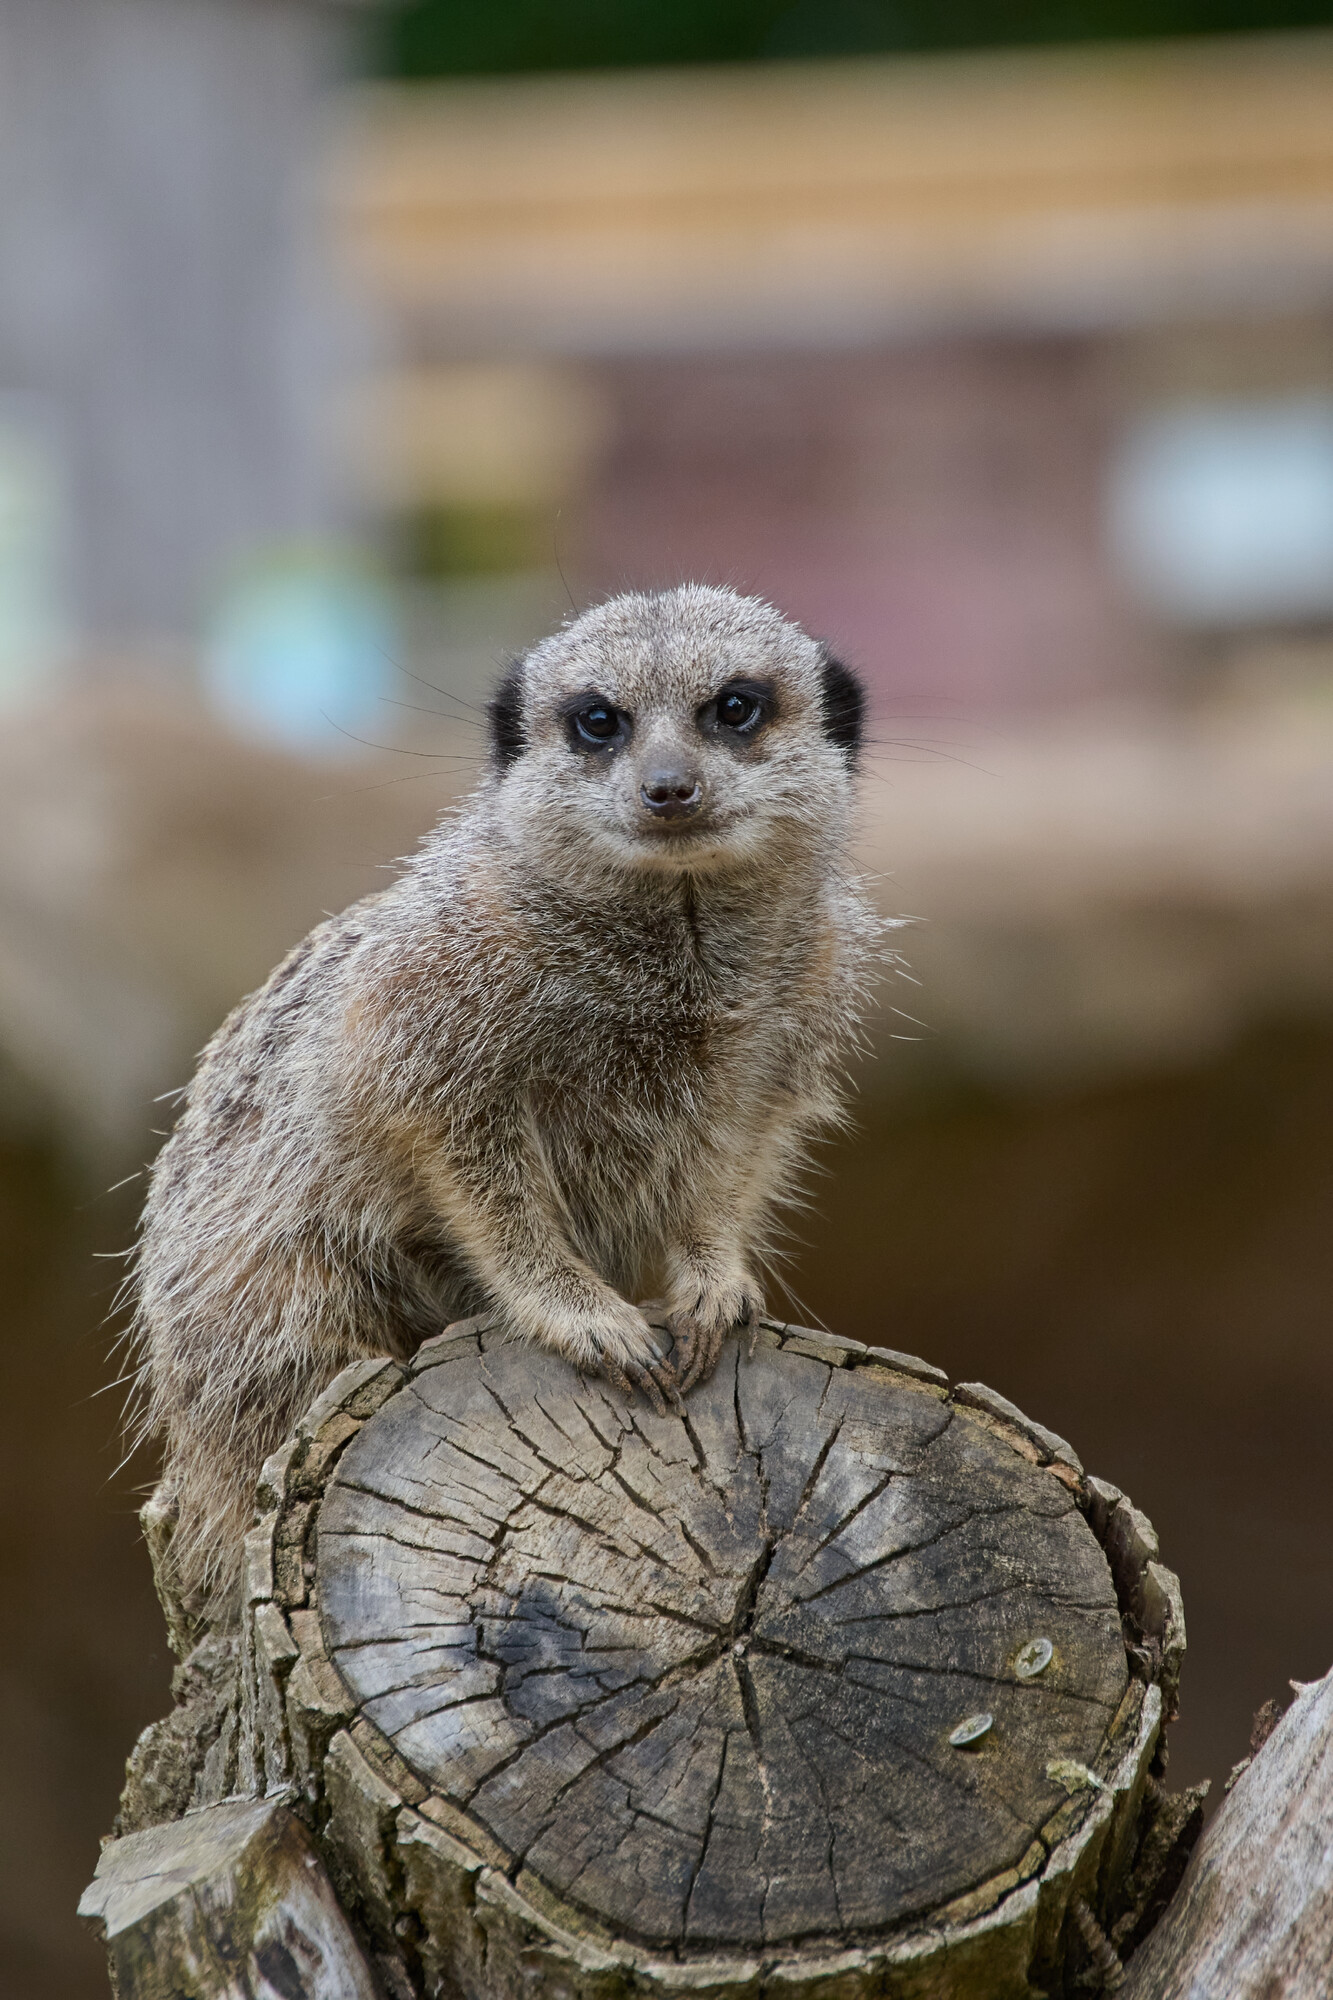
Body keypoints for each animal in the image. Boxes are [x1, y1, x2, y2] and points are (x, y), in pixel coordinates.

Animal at [131, 585, 880, 1622]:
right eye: (598, 720)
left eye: (734, 706)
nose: (668, 787)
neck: (677, 946)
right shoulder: (430, 999)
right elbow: (471, 1165)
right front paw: (586, 1314)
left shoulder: (796, 1011)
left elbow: (736, 1155)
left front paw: (711, 1283)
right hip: (261, 1305)